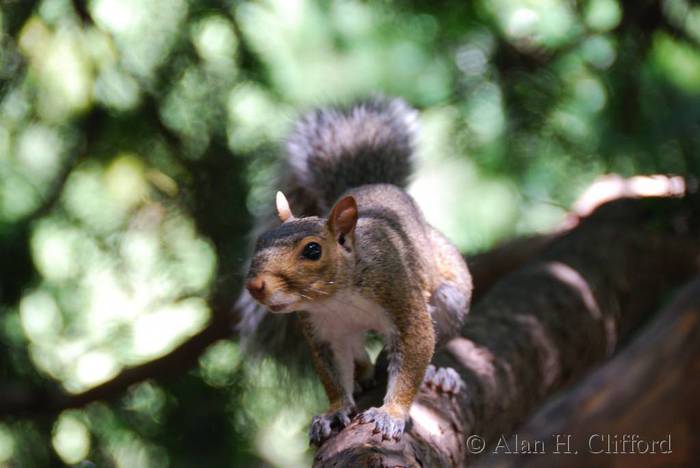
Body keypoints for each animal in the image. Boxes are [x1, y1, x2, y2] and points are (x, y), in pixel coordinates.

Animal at [238, 97, 472, 445]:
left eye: (313, 250)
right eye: (260, 241)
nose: (255, 286)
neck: (338, 297)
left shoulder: (402, 299)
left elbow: (414, 354)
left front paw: (391, 414)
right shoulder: (323, 331)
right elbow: (332, 375)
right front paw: (334, 411)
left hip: (448, 293)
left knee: (438, 335)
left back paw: (438, 374)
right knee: (358, 354)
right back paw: (363, 375)